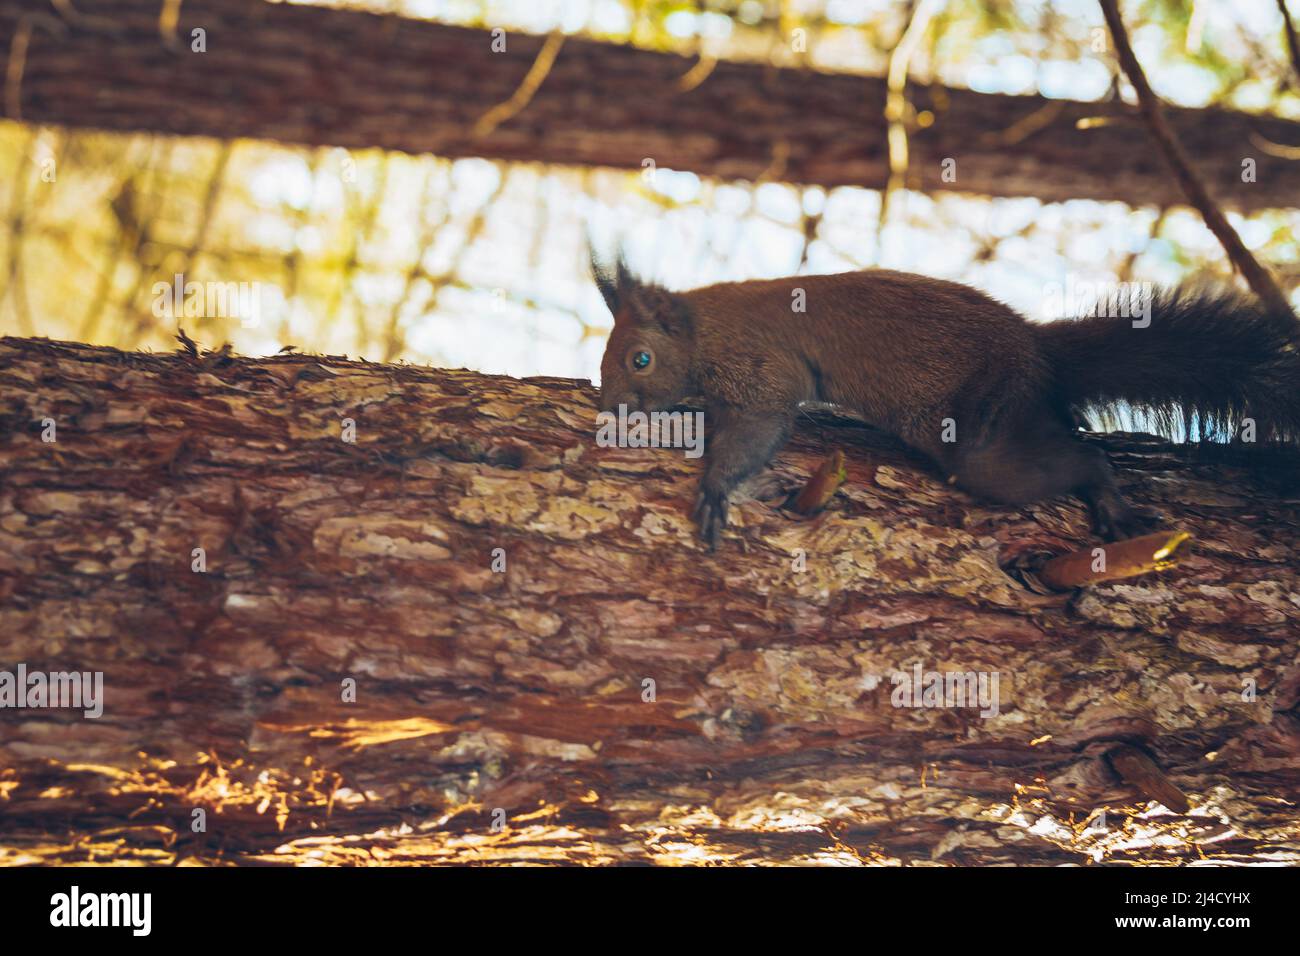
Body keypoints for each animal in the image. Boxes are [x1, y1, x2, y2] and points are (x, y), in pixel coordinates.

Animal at [595, 257, 1300, 548]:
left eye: (639, 359)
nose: (612, 411)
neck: (702, 326)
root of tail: (1036, 350)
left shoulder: (760, 364)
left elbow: (762, 424)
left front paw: (714, 488)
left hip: (983, 422)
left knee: (1072, 461)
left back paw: (1107, 496)